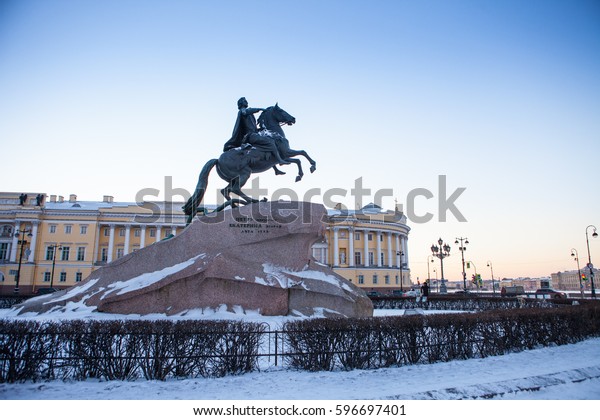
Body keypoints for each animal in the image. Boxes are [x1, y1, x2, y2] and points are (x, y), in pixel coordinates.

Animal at [182, 104, 314, 225]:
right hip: (244, 174)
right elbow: (300, 156)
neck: (273, 133)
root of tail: (217, 160)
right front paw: (305, 171)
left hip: (233, 178)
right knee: (235, 189)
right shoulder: (286, 153)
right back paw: (254, 201)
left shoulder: (284, 155)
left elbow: (301, 155)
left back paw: (236, 206)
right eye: (281, 110)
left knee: (225, 191)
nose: (293, 119)